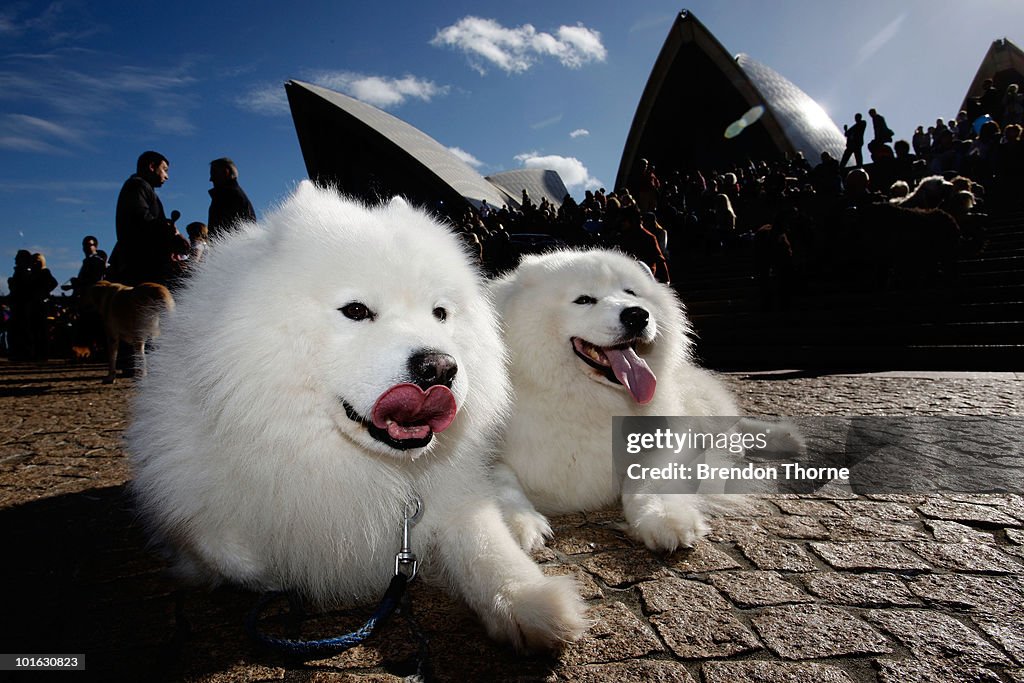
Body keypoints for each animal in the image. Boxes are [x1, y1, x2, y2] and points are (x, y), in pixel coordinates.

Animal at [130, 184, 585, 655]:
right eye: (356, 310)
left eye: (440, 313)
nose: (439, 368)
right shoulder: (187, 510)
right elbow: (230, 552)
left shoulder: (451, 497)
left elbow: (486, 545)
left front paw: (529, 602)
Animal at [491, 250, 741, 557]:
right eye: (584, 299)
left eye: (631, 293)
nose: (637, 315)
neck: (585, 402)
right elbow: (503, 481)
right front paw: (517, 523)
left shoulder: (669, 441)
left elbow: (648, 479)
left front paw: (664, 518)